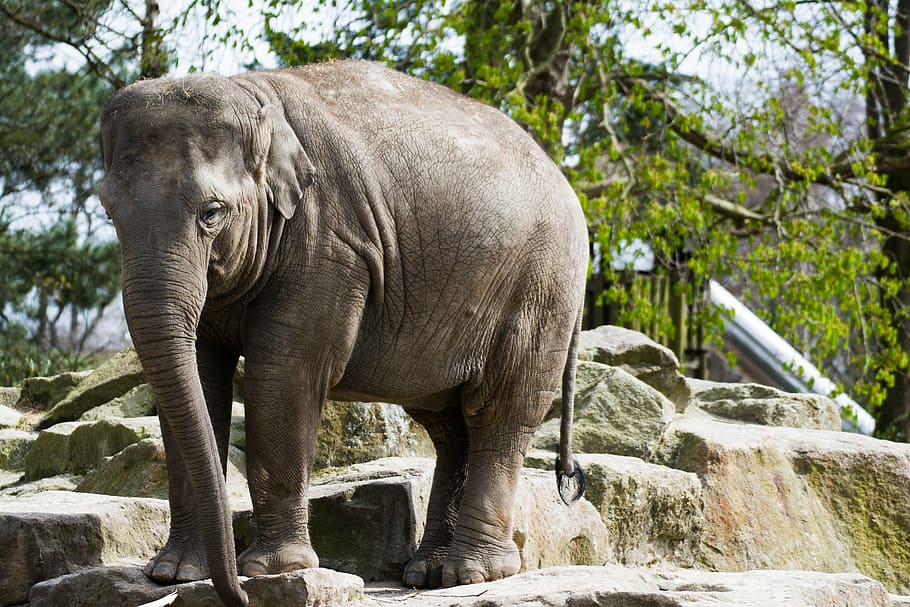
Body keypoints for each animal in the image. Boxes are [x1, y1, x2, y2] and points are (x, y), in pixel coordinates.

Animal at [96, 60, 588, 607]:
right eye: (109, 212)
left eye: (212, 213)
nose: (237, 595)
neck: (252, 94)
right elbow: (202, 383)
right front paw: (174, 574)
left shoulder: (330, 244)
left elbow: (283, 376)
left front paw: (273, 571)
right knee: (448, 423)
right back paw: (426, 573)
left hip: (541, 289)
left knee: (499, 410)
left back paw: (471, 574)